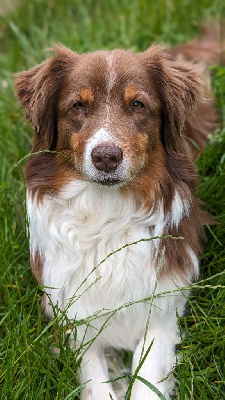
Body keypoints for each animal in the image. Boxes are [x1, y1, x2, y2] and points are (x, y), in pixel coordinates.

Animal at [14, 28, 223, 400]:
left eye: (138, 104)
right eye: (78, 106)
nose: (106, 157)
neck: (105, 211)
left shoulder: (162, 303)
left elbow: (147, 377)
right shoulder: (71, 311)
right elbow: (95, 377)